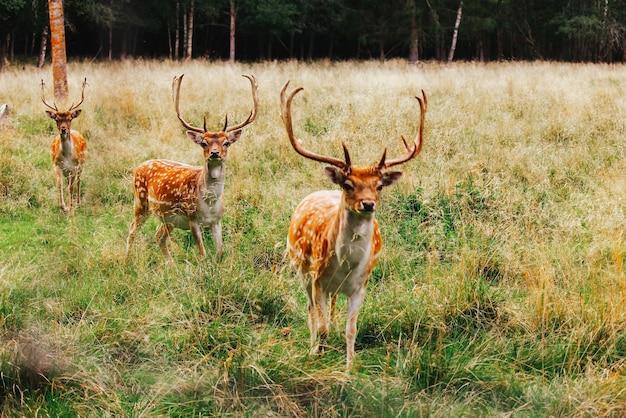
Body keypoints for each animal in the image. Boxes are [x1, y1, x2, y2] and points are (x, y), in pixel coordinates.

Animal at [41, 78, 88, 216]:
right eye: (56, 119)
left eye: (70, 118)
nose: (63, 129)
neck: (67, 157)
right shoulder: (57, 165)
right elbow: (60, 185)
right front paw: (63, 207)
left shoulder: (75, 166)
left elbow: (71, 187)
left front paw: (71, 208)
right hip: (67, 171)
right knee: (68, 183)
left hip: (82, 165)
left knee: (78, 182)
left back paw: (78, 203)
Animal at [125, 75, 258, 264]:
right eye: (204, 143)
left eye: (226, 142)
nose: (215, 153)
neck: (210, 203)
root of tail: (138, 167)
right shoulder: (192, 217)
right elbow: (202, 254)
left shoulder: (217, 220)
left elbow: (220, 252)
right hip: (141, 201)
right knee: (132, 230)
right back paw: (126, 261)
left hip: (168, 218)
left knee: (159, 236)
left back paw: (172, 266)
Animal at [280, 81, 426, 370]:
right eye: (348, 184)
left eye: (379, 186)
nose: (368, 204)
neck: (345, 265)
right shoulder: (317, 279)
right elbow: (322, 326)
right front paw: (316, 354)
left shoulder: (361, 285)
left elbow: (351, 330)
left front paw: (349, 367)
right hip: (300, 269)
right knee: (311, 311)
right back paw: (312, 346)